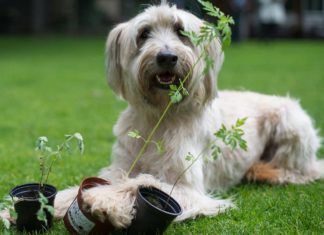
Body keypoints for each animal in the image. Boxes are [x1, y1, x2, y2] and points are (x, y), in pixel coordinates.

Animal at [52, 1, 322, 229]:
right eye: (144, 34)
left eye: (181, 31)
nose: (167, 57)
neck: (160, 115)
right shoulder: (124, 163)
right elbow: (112, 176)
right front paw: (63, 199)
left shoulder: (186, 188)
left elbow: (140, 182)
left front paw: (103, 200)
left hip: (291, 123)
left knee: (303, 172)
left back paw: (266, 171)